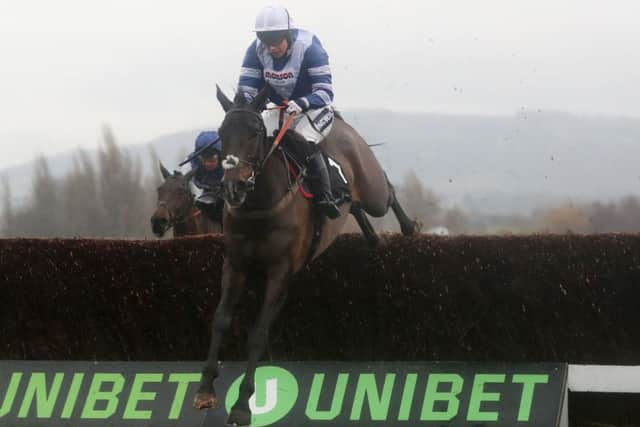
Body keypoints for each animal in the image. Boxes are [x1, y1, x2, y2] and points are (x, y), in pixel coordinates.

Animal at [194, 85, 416, 426]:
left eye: (255, 132)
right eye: (221, 133)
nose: (234, 188)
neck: (260, 205)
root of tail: (340, 124)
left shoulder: (280, 272)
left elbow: (258, 335)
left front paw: (243, 405)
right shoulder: (235, 265)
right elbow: (220, 320)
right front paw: (205, 389)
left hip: (372, 188)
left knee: (387, 193)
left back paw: (408, 227)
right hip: (352, 200)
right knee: (354, 206)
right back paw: (372, 238)